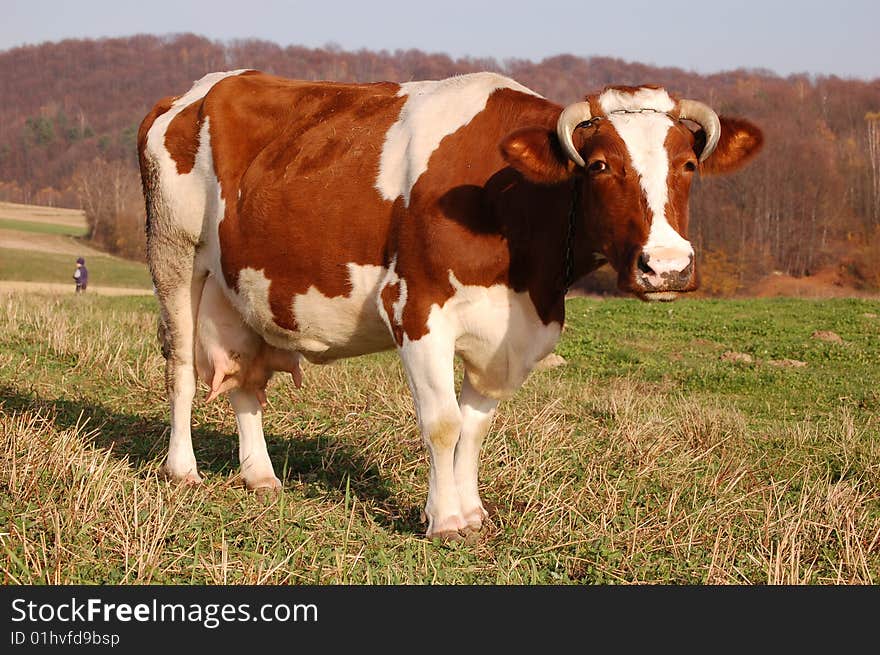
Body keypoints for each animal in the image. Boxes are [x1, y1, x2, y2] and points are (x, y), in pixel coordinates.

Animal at [138, 70, 764, 544]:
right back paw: (183, 470)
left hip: (244, 290)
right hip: (173, 254)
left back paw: (260, 476)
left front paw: (470, 511)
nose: (667, 266)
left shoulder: (509, 333)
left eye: (688, 165)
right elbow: (442, 423)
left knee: (247, 380)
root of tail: (195, 92)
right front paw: (444, 521)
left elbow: (474, 428)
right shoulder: (416, 308)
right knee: (181, 368)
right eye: (601, 165)